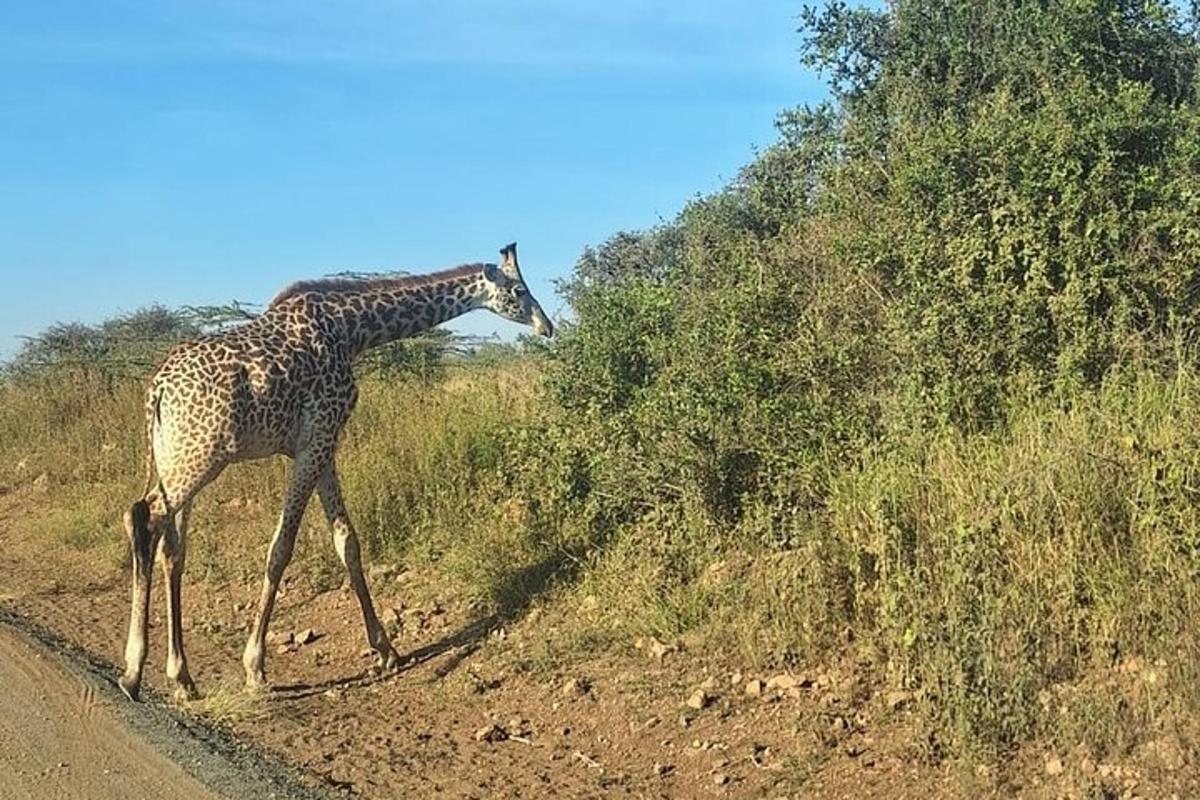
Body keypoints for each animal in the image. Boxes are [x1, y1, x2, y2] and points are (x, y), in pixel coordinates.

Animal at [118, 242, 552, 700]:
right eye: (520, 290)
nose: (547, 326)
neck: (350, 331)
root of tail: (156, 389)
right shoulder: (317, 438)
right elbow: (280, 549)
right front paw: (255, 667)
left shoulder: (323, 446)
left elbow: (347, 542)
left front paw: (386, 651)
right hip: (201, 456)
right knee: (144, 517)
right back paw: (132, 671)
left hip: (174, 458)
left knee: (170, 546)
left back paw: (181, 677)